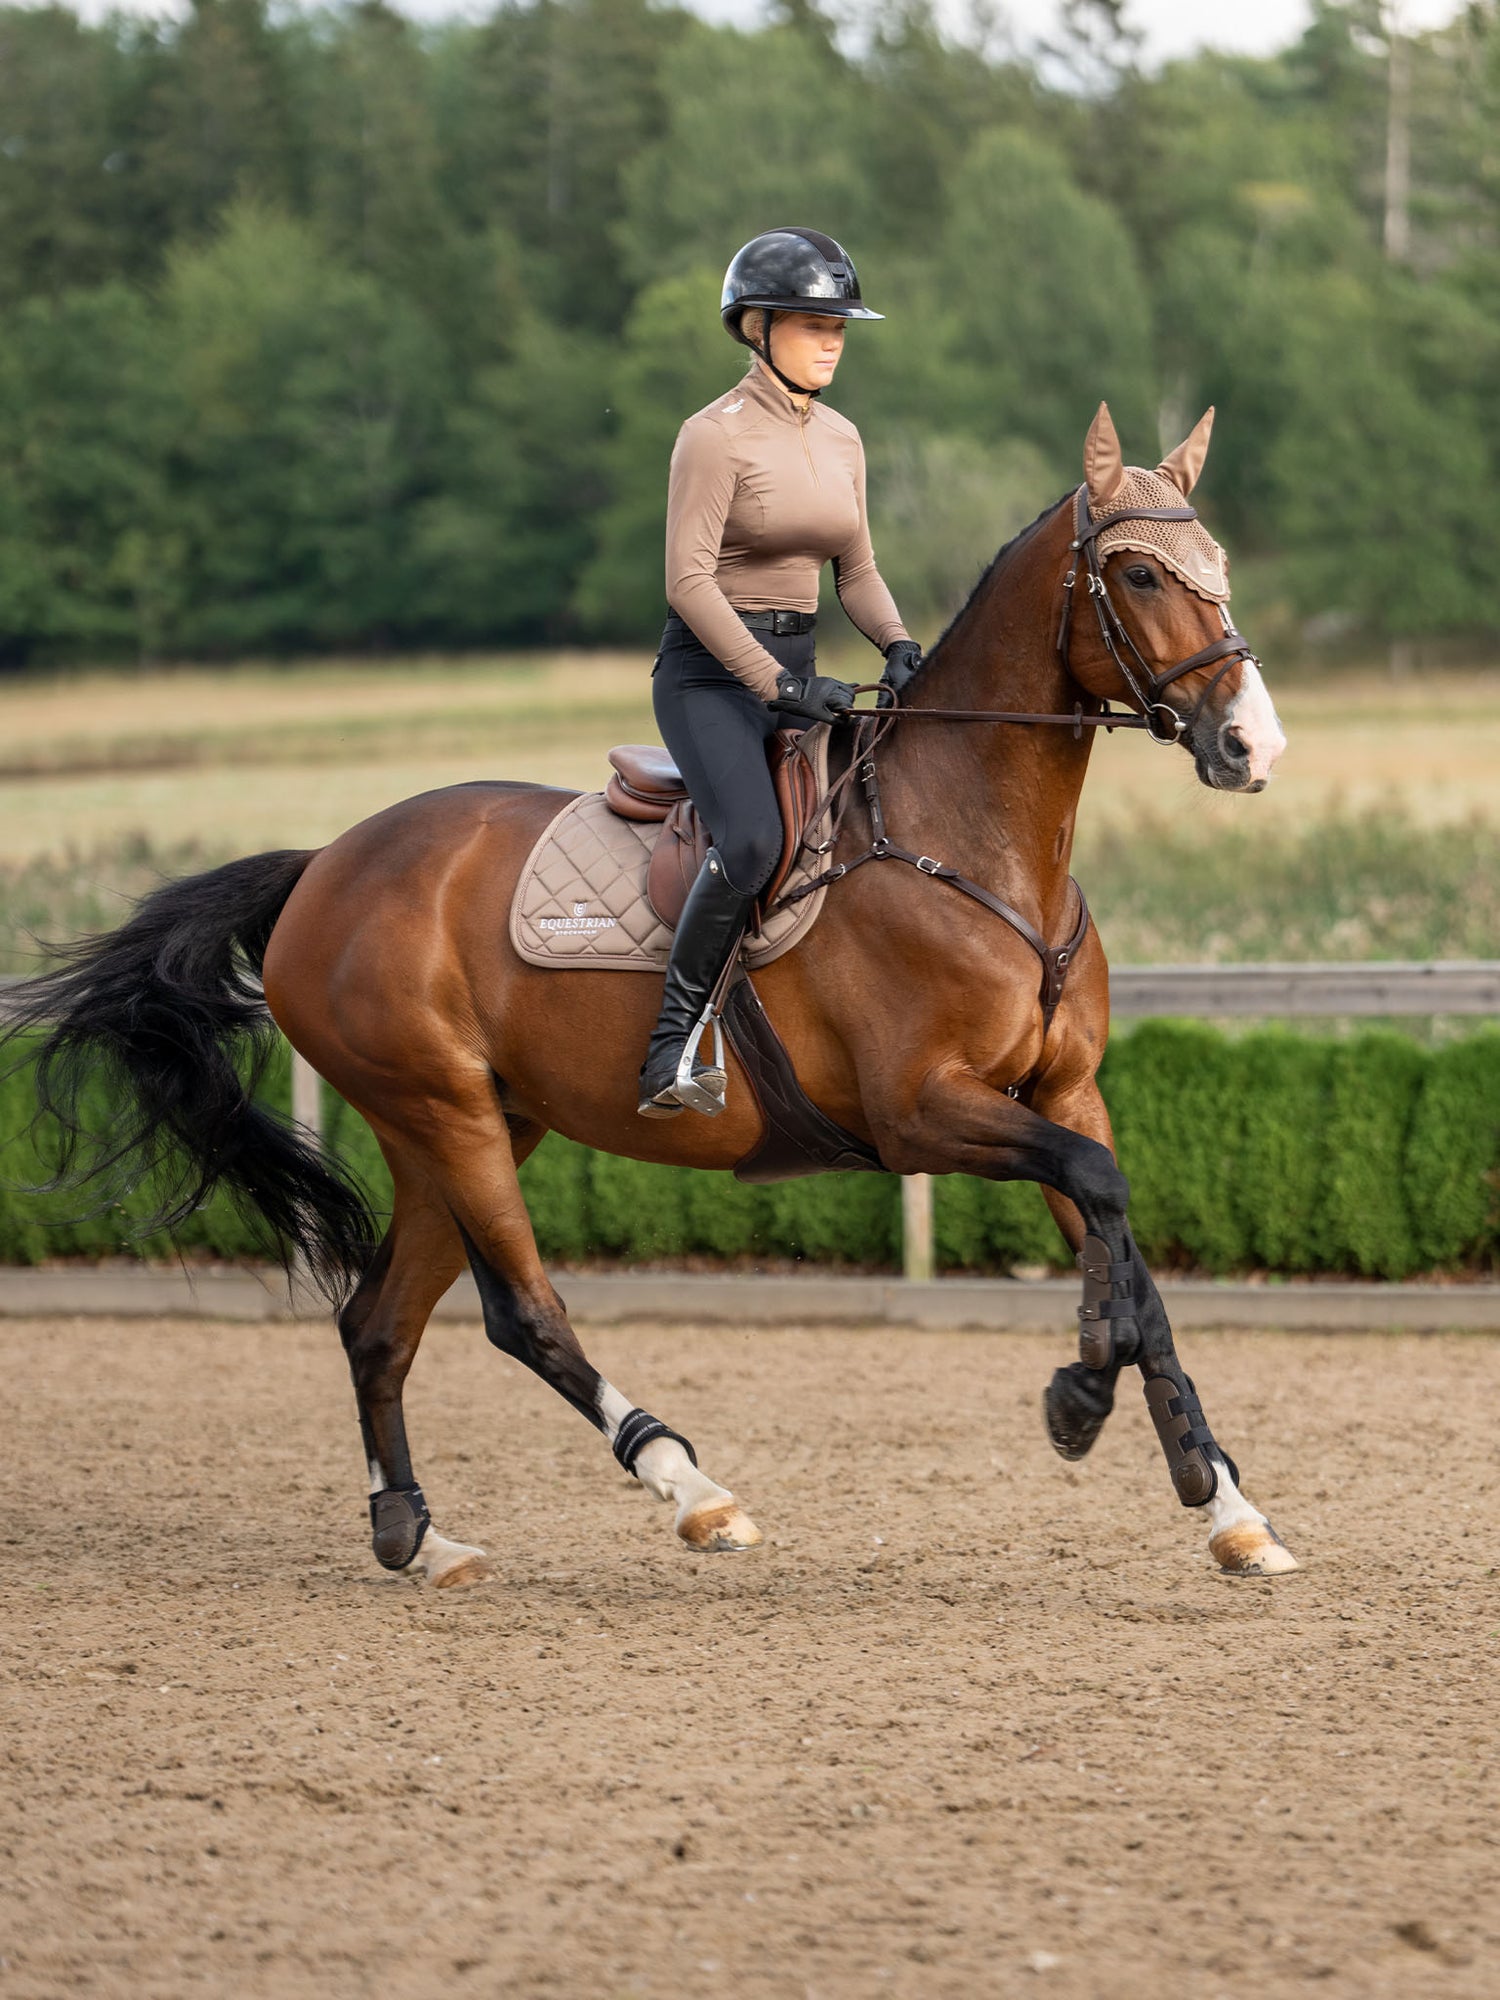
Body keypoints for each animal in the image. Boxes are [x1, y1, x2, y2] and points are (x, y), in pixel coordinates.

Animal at [8, 401, 1296, 1588]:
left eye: (1220, 562)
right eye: (1139, 571)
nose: (1252, 745)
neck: (971, 843)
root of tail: (325, 863)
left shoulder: (1063, 1092)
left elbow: (1127, 1246)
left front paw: (1222, 1498)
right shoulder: (922, 1110)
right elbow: (1102, 1200)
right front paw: (1079, 1395)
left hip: (464, 1124)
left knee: (378, 1324)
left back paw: (419, 1535)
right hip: (446, 1113)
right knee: (524, 1313)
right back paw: (692, 1489)